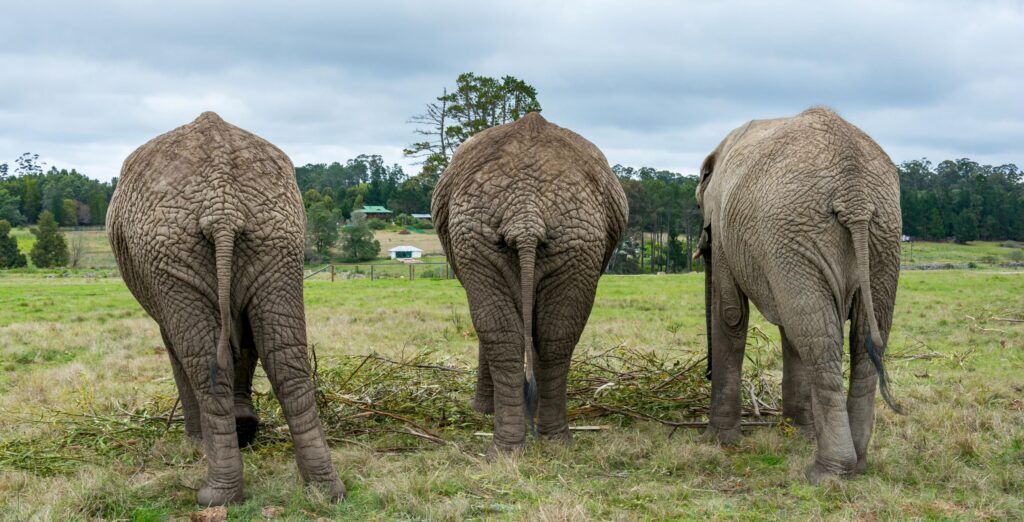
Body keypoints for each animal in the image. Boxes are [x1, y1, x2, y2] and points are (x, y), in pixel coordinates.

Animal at [107, 112, 344, 505]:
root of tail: (223, 205)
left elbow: (182, 348)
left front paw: (199, 441)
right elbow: (246, 343)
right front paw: (245, 427)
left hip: (170, 249)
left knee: (205, 364)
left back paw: (215, 495)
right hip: (276, 237)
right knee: (285, 358)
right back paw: (325, 488)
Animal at [432, 112, 628, 454]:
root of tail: (525, 213)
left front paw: (485, 410)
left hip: (495, 234)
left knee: (511, 331)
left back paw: (518, 443)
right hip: (570, 238)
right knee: (551, 333)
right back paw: (541, 442)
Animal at [694, 107, 902, 484]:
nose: (706, 374)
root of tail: (855, 194)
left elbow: (731, 314)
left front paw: (718, 440)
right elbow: (789, 326)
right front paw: (796, 433)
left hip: (799, 232)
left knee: (821, 342)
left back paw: (826, 473)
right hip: (879, 239)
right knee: (860, 338)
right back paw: (857, 465)